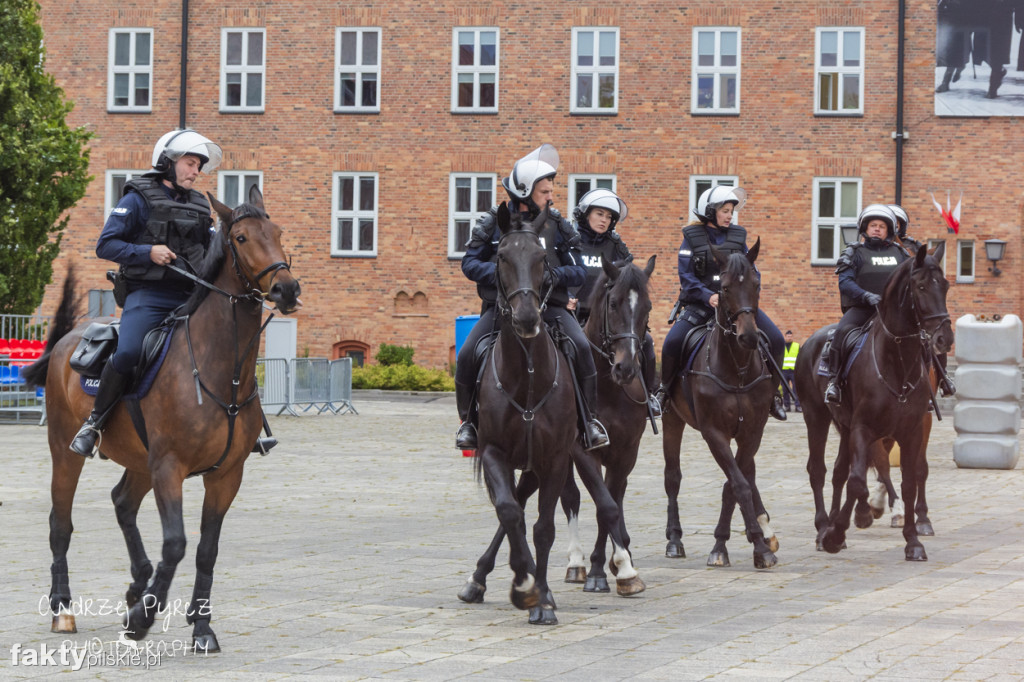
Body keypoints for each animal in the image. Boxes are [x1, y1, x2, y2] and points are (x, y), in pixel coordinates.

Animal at [20, 184, 299, 647]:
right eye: (241, 238)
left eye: (277, 232)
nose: (287, 289)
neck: (218, 370)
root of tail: (67, 340)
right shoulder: (170, 467)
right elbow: (176, 543)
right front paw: (143, 617)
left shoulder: (226, 475)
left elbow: (206, 549)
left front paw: (200, 626)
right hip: (66, 451)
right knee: (60, 523)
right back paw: (63, 608)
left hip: (139, 461)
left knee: (122, 504)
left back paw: (138, 582)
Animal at [458, 201, 638, 622]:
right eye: (502, 257)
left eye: (542, 258)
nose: (526, 317)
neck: (526, 375)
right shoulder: (494, 453)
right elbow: (510, 513)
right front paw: (524, 586)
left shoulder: (556, 457)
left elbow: (544, 528)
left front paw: (541, 599)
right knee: (514, 508)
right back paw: (480, 579)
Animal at [659, 238, 778, 569]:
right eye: (723, 287)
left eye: (757, 284)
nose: (749, 336)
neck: (736, 369)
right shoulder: (714, 433)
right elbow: (737, 484)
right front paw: (738, 546)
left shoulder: (753, 431)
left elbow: (736, 483)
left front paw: (754, 542)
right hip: (671, 420)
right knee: (672, 477)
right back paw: (674, 540)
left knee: (747, 474)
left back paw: (765, 529)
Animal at [790, 241, 950, 561]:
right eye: (922, 286)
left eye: (947, 286)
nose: (944, 338)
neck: (896, 363)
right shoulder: (865, 428)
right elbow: (860, 481)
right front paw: (840, 530)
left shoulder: (913, 428)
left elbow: (910, 480)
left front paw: (913, 539)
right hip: (816, 417)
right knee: (819, 470)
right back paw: (823, 528)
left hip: (844, 426)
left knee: (839, 471)